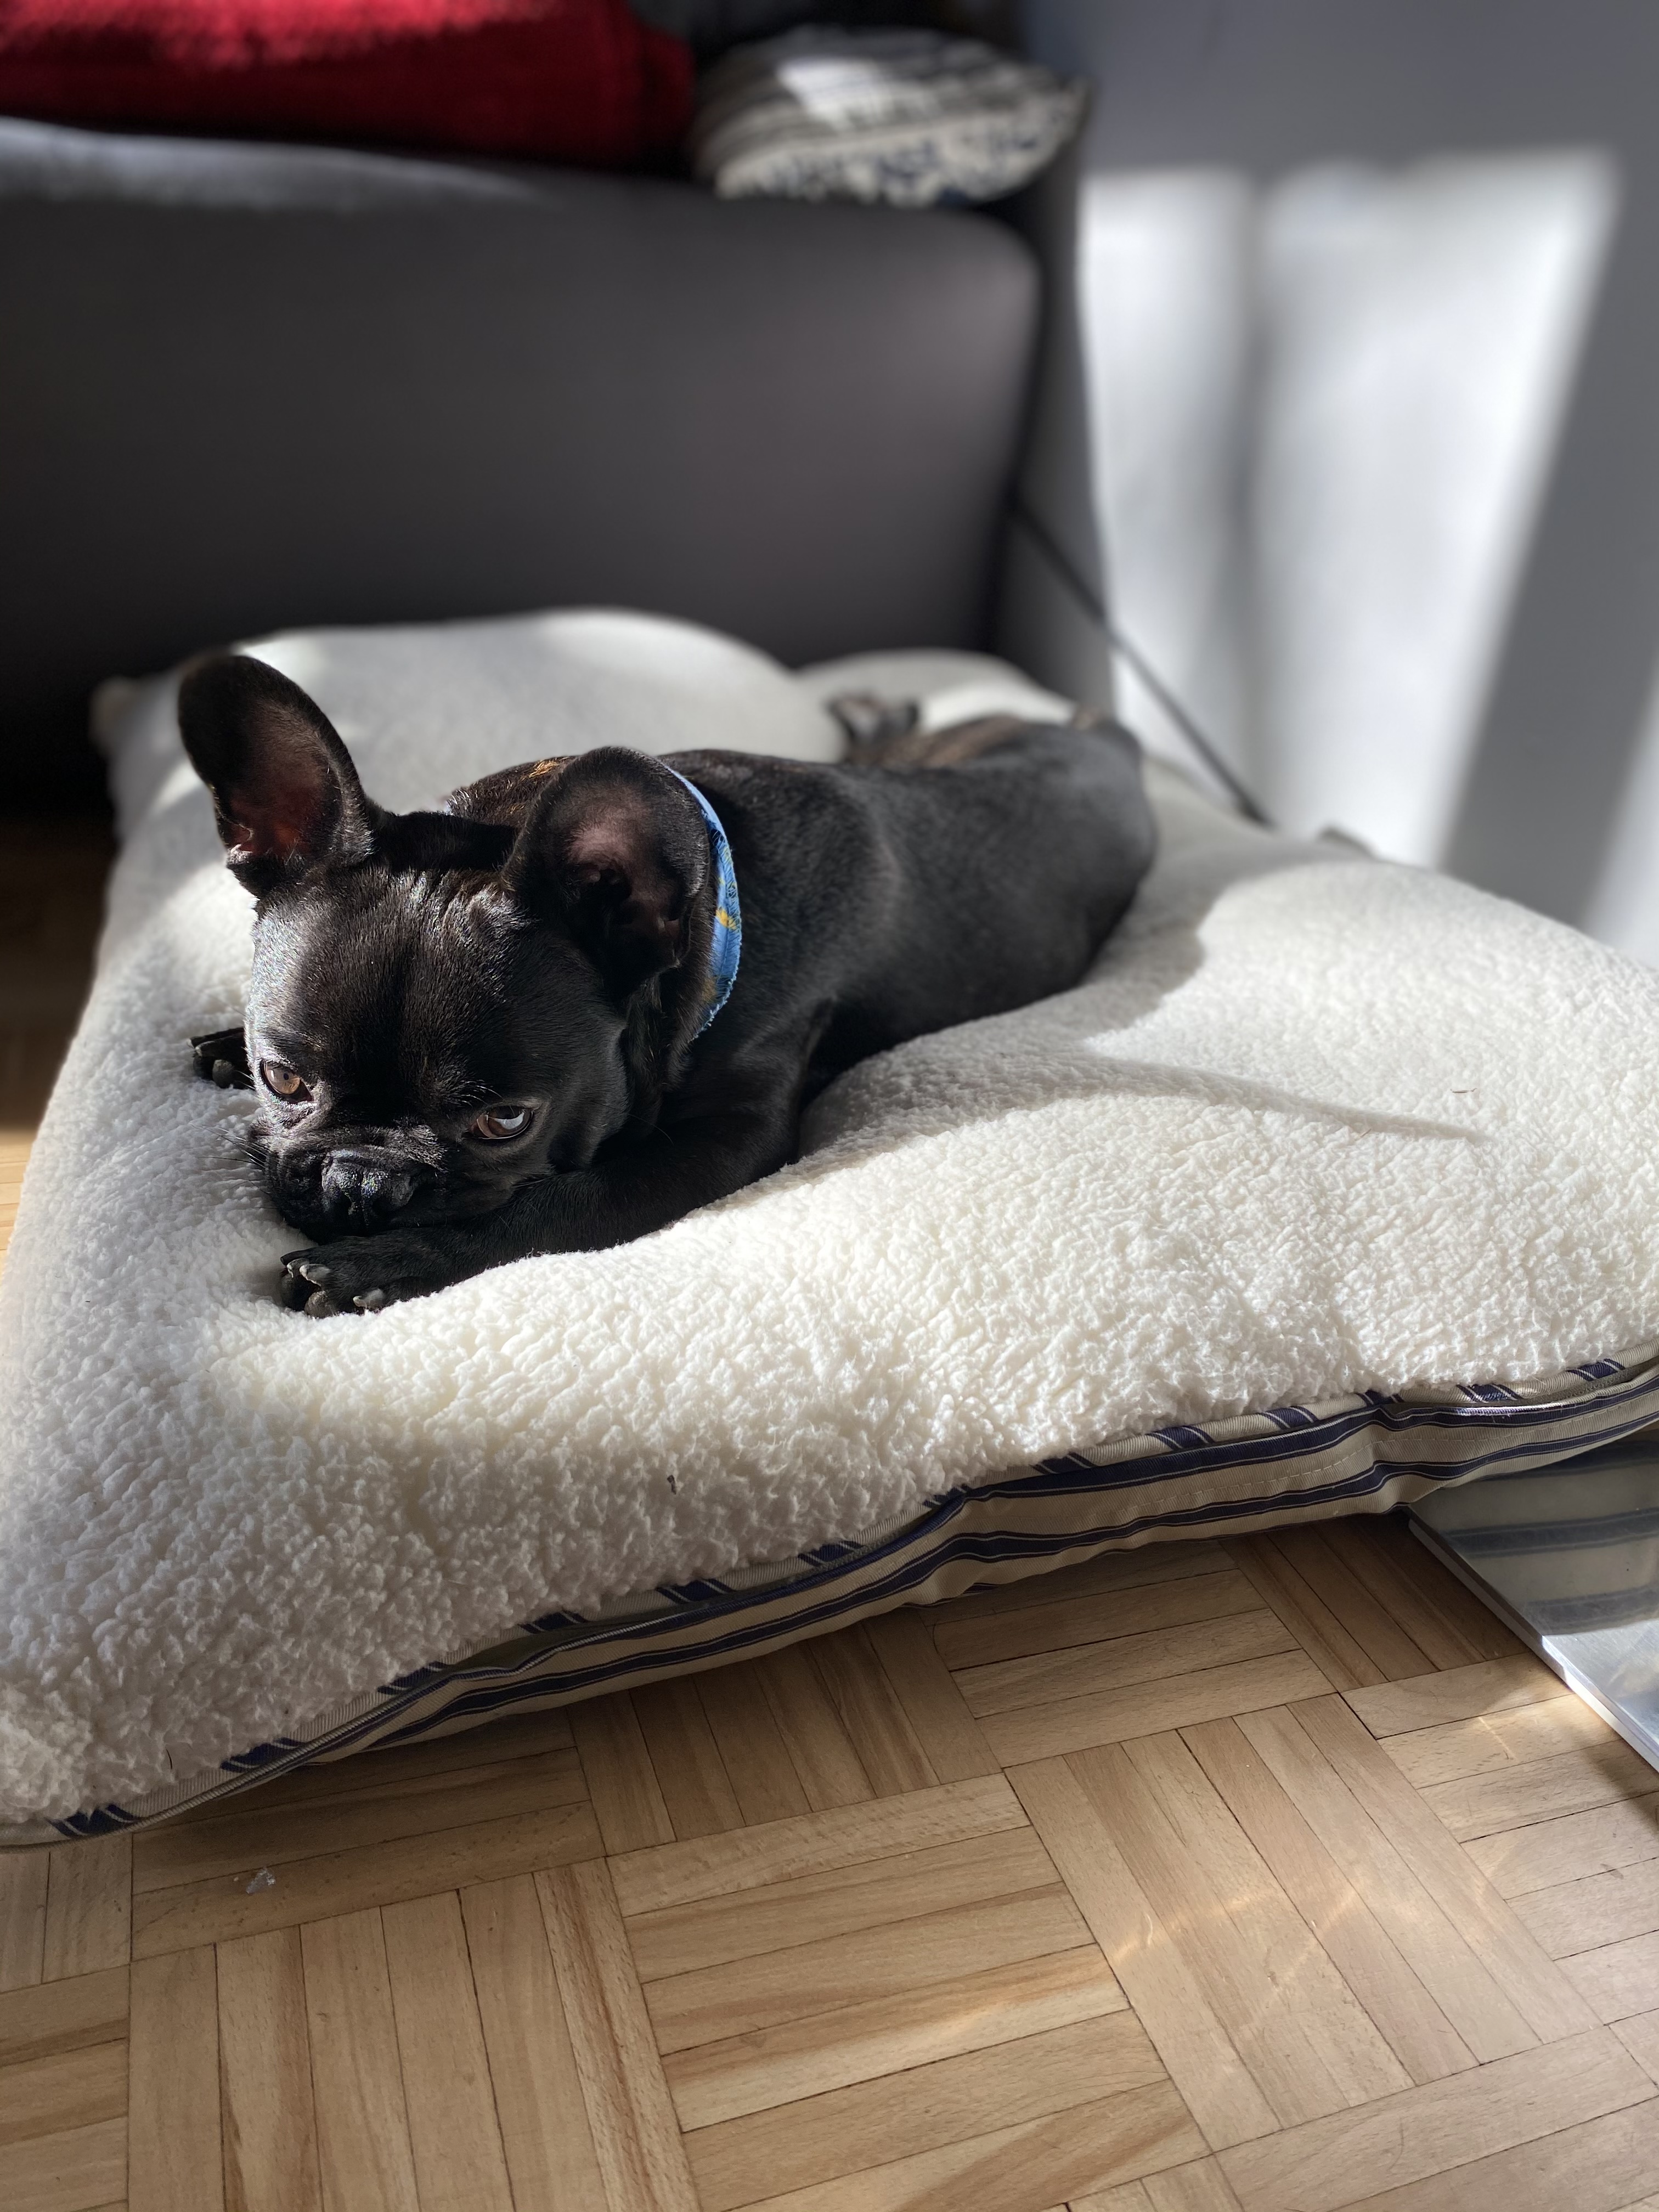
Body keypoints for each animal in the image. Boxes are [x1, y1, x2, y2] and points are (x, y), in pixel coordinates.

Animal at [181, 654, 1155, 1313]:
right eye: (282, 1079)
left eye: (505, 1122)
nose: (361, 1187)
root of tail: (1106, 740)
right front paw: (227, 1039)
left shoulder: (727, 1141)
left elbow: (558, 1203)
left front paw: (387, 1266)